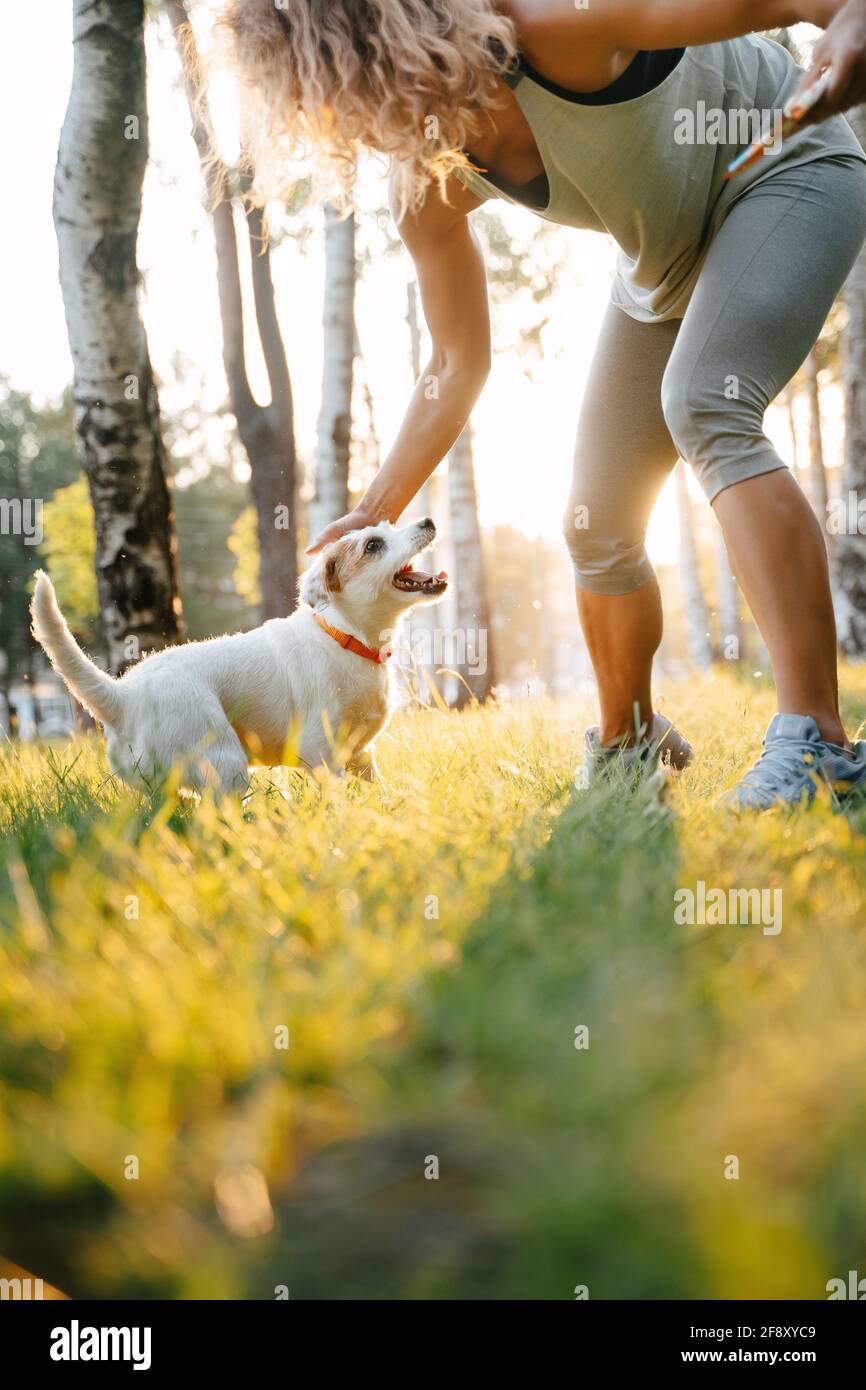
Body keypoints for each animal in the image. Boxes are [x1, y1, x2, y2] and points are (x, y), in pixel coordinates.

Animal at [28, 519, 447, 795]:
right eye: (373, 545)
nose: (427, 520)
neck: (346, 637)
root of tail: (123, 697)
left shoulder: (360, 755)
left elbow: (378, 791)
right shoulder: (322, 755)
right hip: (224, 764)